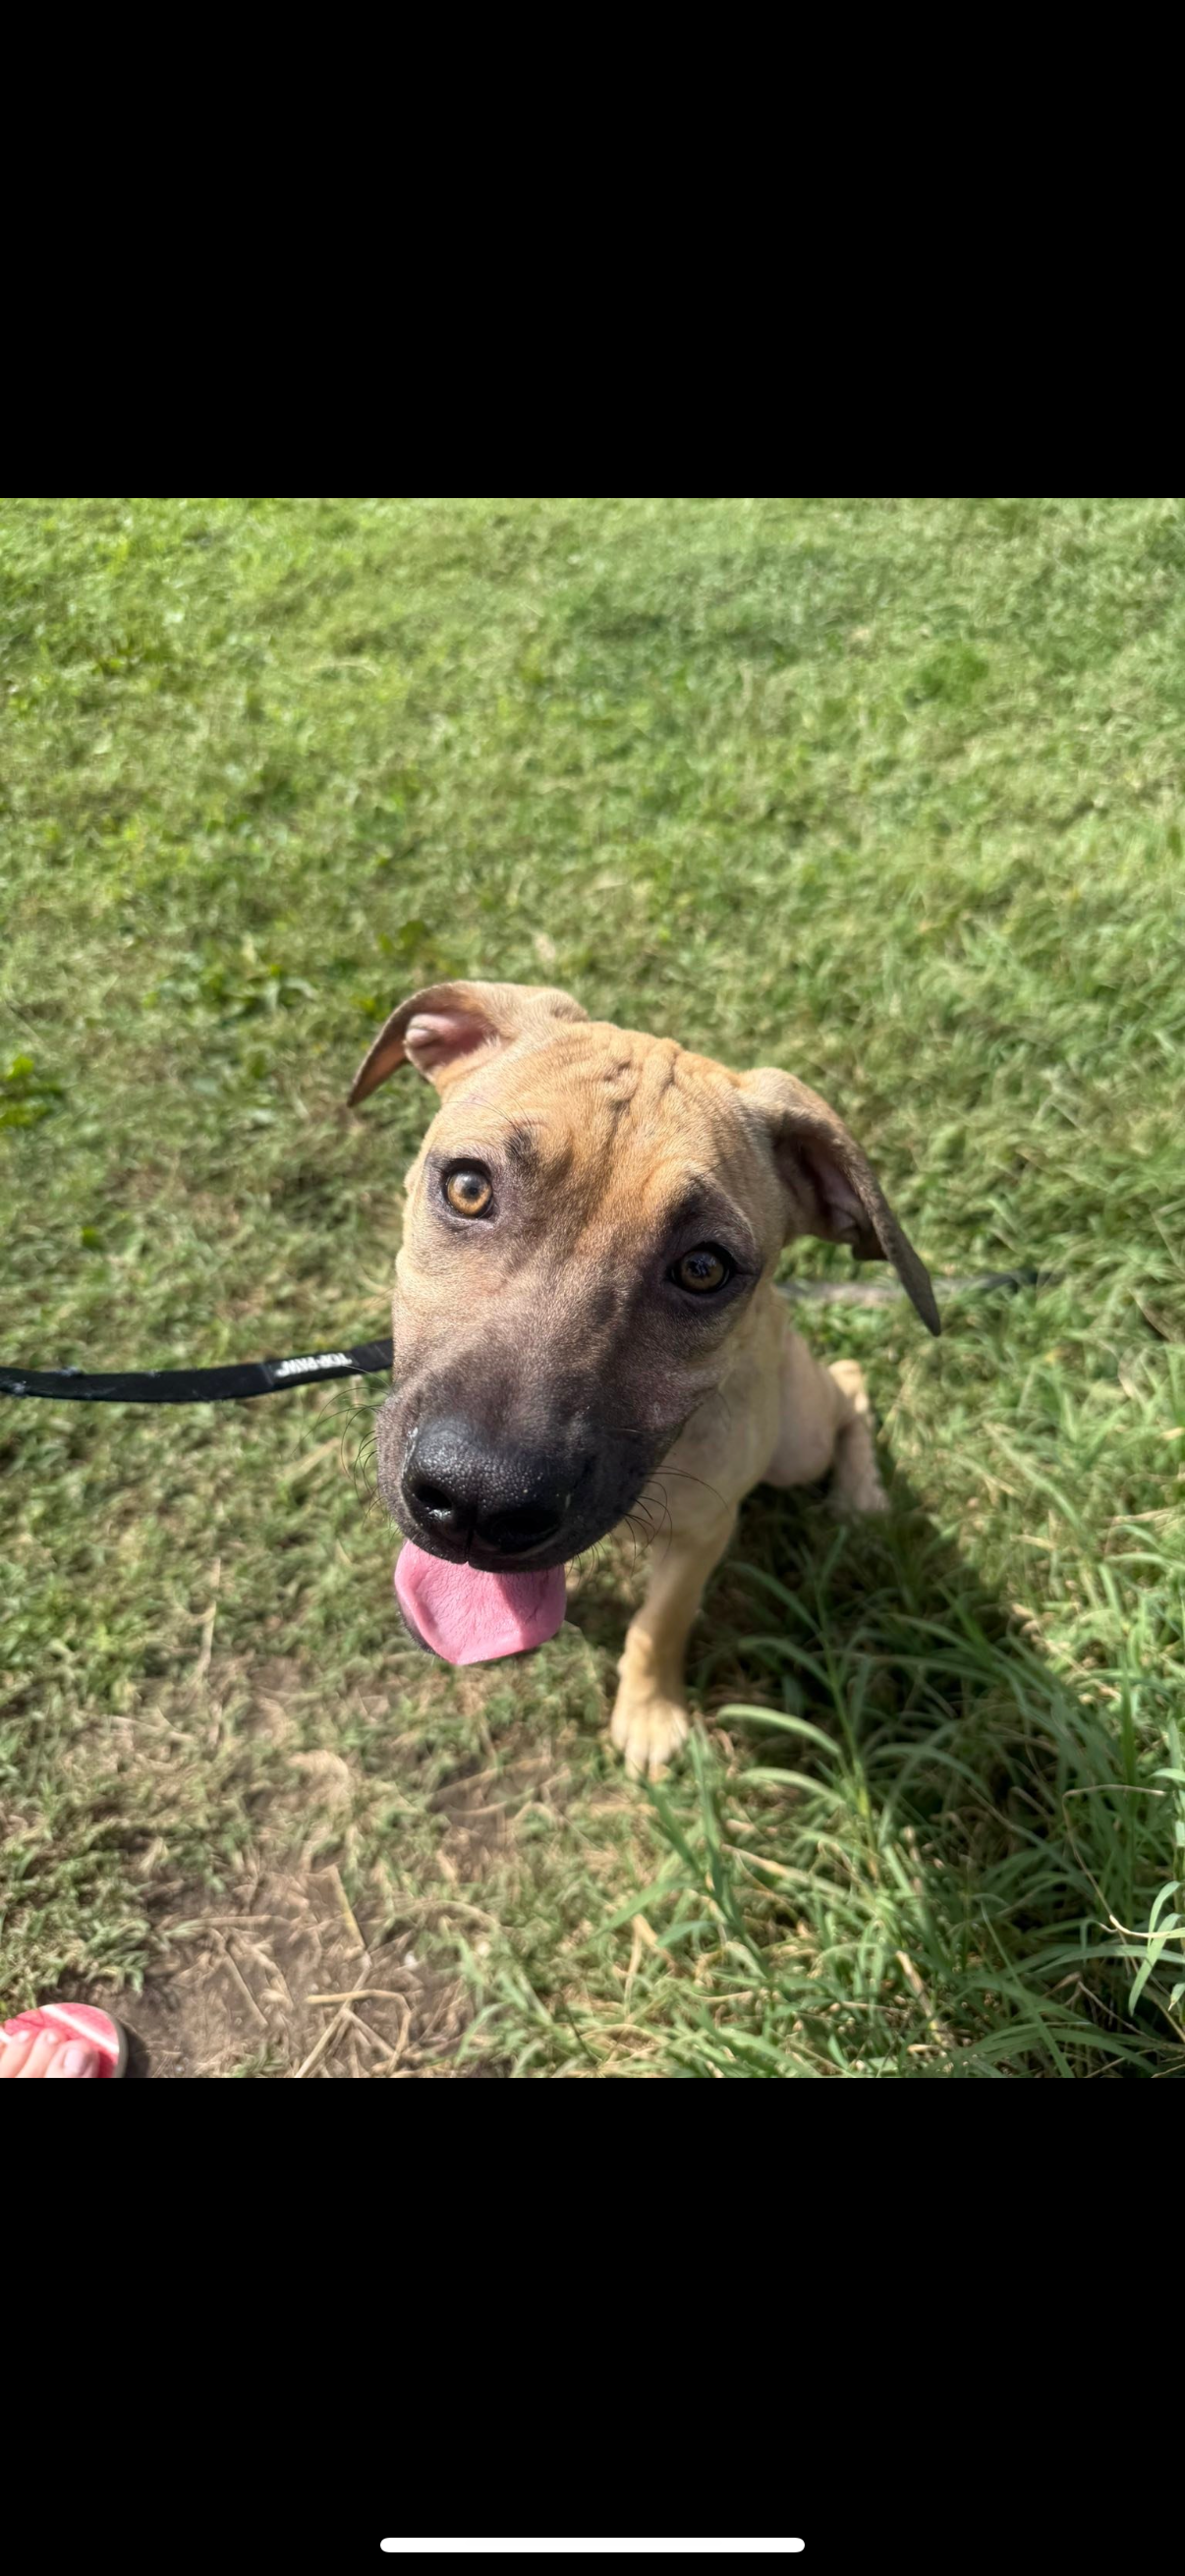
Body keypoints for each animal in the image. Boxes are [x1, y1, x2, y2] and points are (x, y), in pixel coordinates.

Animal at [349, 981, 939, 1778]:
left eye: (704, 1268)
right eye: (468, 1187)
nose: (478, 1502)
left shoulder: (704, 1531)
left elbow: (662, 1622)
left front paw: (651, 1712)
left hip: (797, 1444)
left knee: (847, 1383)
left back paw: (860, 1495)